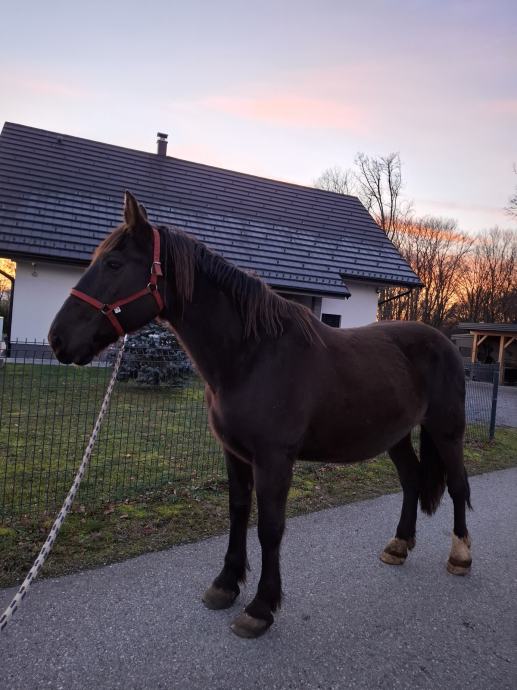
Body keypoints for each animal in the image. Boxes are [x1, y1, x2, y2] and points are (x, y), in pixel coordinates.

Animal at [48, 191, 472, 639]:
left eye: (113, 264)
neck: (252, 355)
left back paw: (460, 556)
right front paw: (225, 584)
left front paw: (261, 607)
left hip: (447, 431)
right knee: (411, 480)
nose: (58, 339)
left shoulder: (274, 459)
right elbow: (238, 512)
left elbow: (270, 527)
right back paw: (399, 545)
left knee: (458, 486)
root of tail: (444, 342)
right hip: (397, 435)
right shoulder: (235, 453)